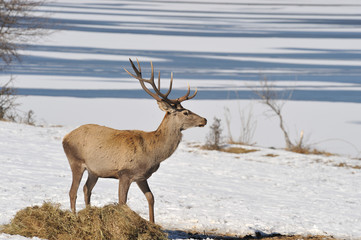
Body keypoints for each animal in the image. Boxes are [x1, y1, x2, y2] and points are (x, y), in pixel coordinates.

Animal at [62, 58, 205, 223]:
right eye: (186, 112)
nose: (204, 120)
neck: (153, 153)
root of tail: (65, 138)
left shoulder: (141, 177)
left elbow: (151, 198)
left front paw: (152, 223)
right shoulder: (124, 173)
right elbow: (122, 202)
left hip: (94, 170)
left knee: (86, 188)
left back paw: (89, 212)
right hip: (76, 161)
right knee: (72, 191)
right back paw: (74, 217)